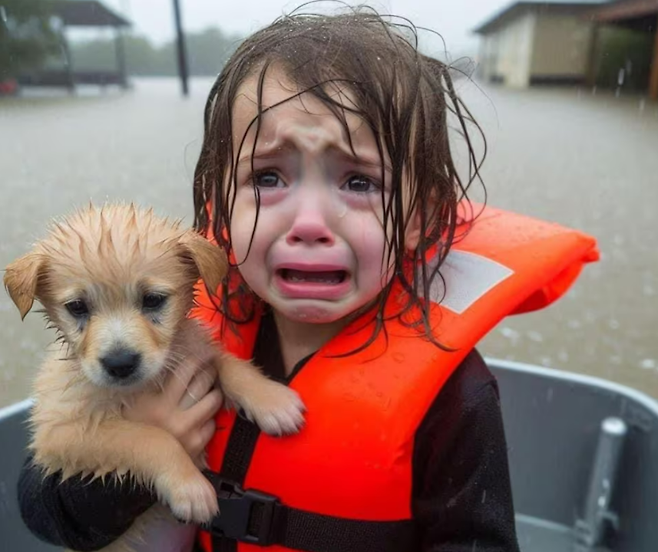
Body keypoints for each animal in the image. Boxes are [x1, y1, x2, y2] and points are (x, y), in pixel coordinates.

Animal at [3, 204, 304, 552]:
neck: (142, 385)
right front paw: (190, 487)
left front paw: (272, 400)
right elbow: (148, 437)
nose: (120, 363)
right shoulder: (60, 433)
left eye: (153, 299)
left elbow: (228, 363)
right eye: (77, 307)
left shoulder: (192, 351)